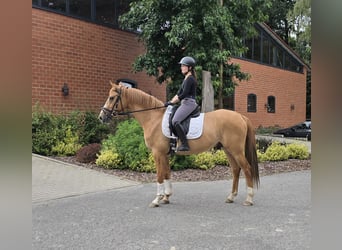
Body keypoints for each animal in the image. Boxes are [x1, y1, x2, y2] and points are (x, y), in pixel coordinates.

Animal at [99, 81, 260, 207]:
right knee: (236, 170)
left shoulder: (157, 153)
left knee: (247, 168)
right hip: (228, 149)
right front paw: (166, 197)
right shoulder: (165, 155)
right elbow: (167, 173)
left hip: (236, 150)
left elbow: (159, 175)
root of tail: (240, 116)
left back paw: (249, 199)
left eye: (111, 97)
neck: (154, 118)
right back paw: (231, 197)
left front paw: (157, 199)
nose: (101, 117)